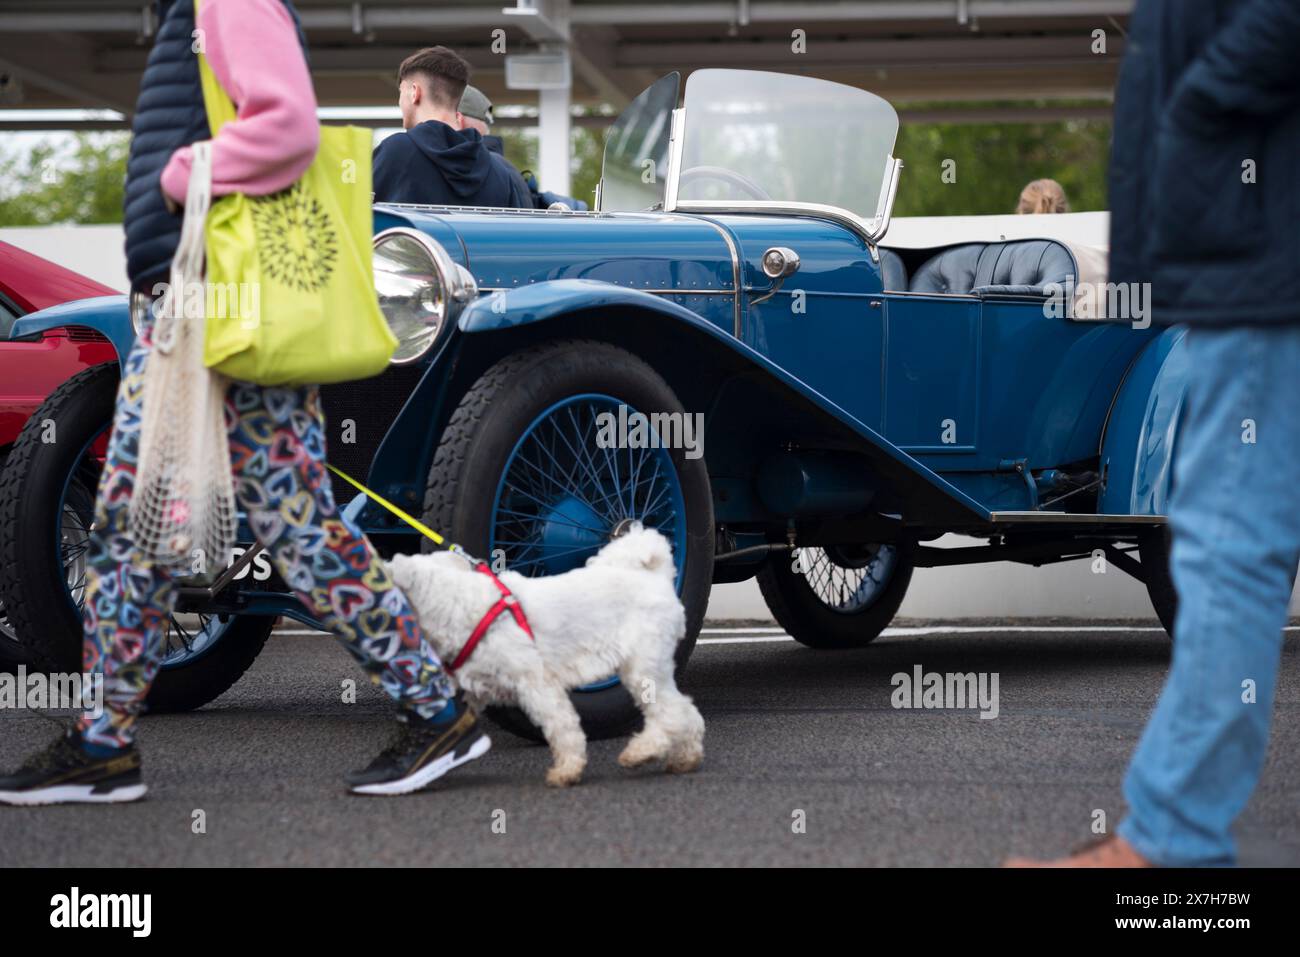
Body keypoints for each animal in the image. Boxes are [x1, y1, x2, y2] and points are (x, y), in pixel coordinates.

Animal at [387, 522, 707, 785]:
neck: (454, 603)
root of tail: (656, 576)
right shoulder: (472, 686)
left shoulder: (537, 683)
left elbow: (562, 727)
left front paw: (567, 770)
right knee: (687, 711)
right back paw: (685, 758)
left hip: (643, 668)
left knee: (672, 713)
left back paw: (641, 752)